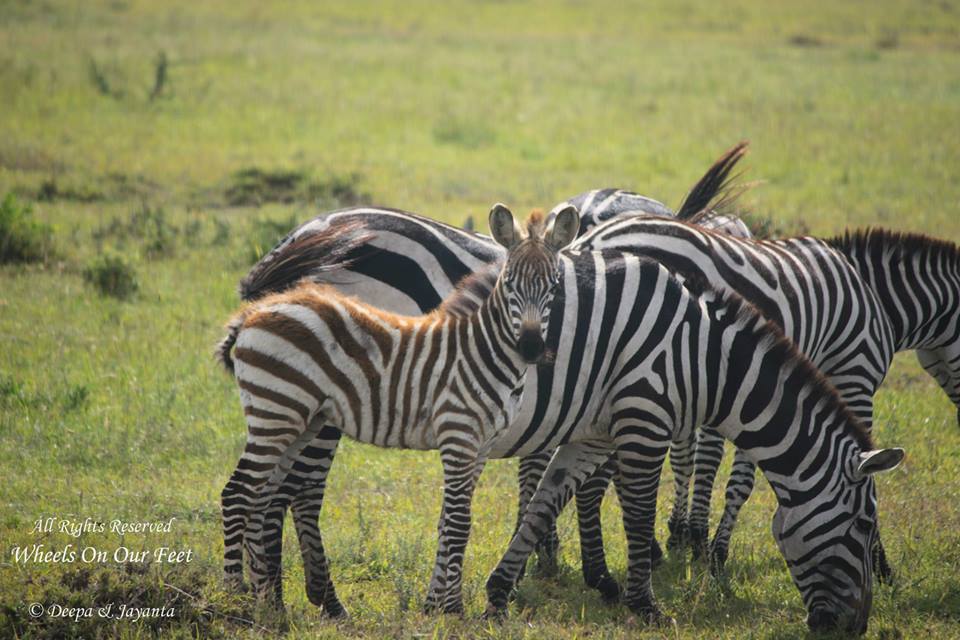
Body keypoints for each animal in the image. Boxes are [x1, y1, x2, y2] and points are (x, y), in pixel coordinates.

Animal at [217, 204, 576, 608]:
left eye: (555, 287)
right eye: (510, 283)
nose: (531, 348)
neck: (480, 350)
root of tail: (252, 314)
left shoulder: (483, 444)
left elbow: (457, 517)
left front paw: (442, 602)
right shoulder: (459, 433)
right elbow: (461, 520)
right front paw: (454, 607)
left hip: (295, 419)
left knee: (261, 497)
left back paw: (268, 602)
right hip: (279, 412)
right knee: (243, 493)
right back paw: (237, 599)